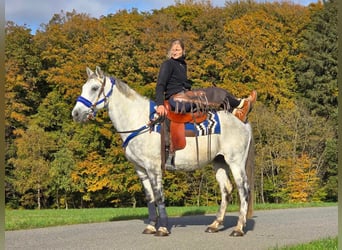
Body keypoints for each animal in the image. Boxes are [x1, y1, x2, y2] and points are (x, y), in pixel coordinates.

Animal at [72, 66, 254, 236]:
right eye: (83, 87)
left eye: (94, 88)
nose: (76, 113)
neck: (141, 121)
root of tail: (243, 122)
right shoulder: (141, 170)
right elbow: (150, 197)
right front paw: (151, 226)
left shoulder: (153, 168)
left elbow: (159, 196)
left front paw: (163, 228)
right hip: (219, 161)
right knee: (226, 189)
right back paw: (215, 225)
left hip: (236, 163)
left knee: (243, 190)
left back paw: (238, 228)